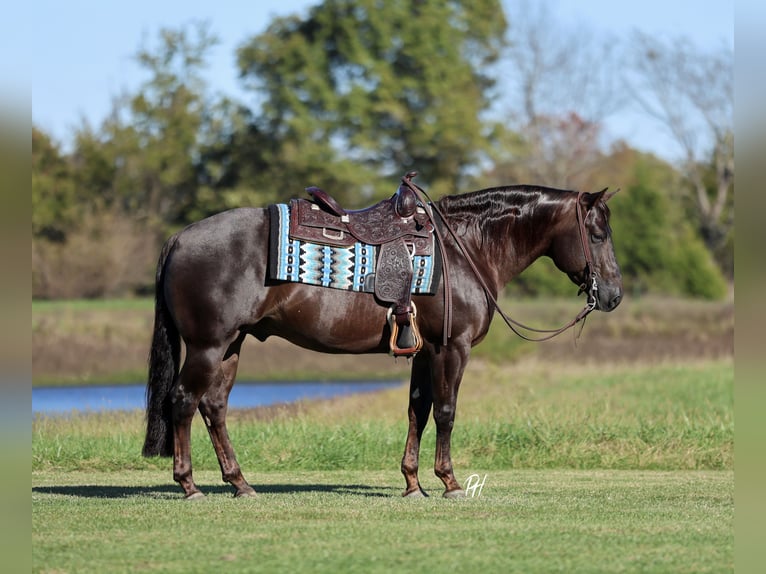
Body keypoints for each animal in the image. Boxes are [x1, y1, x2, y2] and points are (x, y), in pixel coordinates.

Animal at [142, 182, 623, 499]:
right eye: (598, 234)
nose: (614, 296)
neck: (463, 250)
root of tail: (179, 238)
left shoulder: (424, 352)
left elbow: (418, 411)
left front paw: (412, 484)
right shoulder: (452, 348)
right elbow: (446, 412)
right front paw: (449, 482)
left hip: (231, 345)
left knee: (213, 407)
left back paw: (240, 484)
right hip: (207, 345)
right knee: (183, 401)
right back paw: (189, 485)